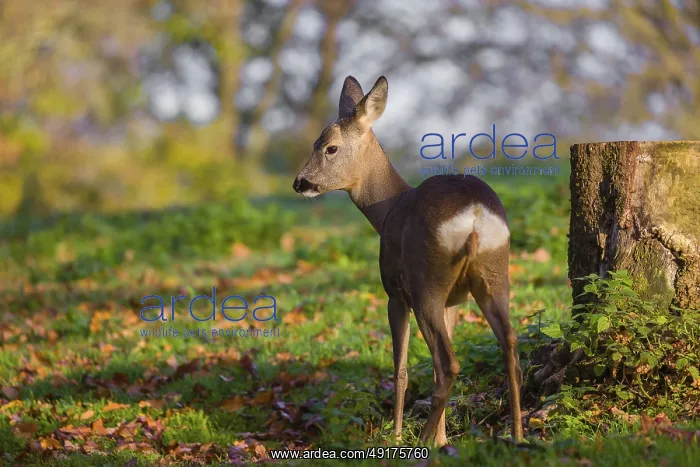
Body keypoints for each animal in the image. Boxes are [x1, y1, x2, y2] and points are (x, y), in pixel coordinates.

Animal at [292, 75, 523, 447]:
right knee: (510, 347)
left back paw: (421, 441)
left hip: (425, 282)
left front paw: (399, 434)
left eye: (329, 147)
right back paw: (516, 436)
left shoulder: (394, 292)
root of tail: (474, 216)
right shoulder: (452, 300)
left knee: (449, 363)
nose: (300, 183)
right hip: (494, 274)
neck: (387, 209)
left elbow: (399, 369)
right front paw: (443, 439)